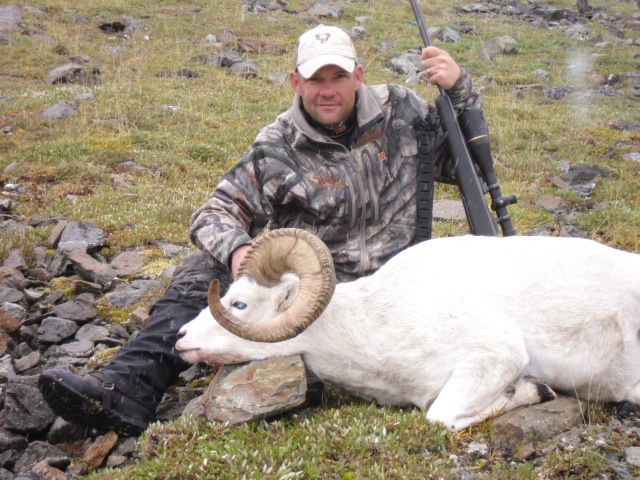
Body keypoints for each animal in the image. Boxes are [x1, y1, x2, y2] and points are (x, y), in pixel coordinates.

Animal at [175, 228, 640, 430]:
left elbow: (439, 417)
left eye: (239, 303)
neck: (375, 326)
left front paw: (535, 391)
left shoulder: (495, 357)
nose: (181, 339)